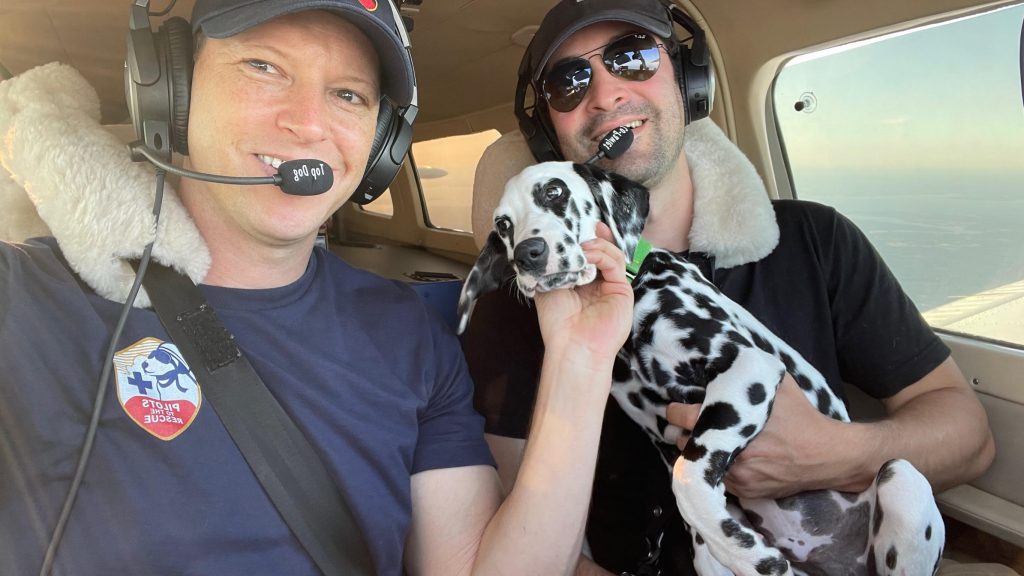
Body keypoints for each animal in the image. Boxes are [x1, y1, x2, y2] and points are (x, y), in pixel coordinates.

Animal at [456, 159, 942, 573]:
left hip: (902, 477)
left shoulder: (747, 364)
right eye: (503, 225)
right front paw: (744, 548)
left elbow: (686, 478)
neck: (640, 287)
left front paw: (746, 551)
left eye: (554, 191)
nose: (528, 254)